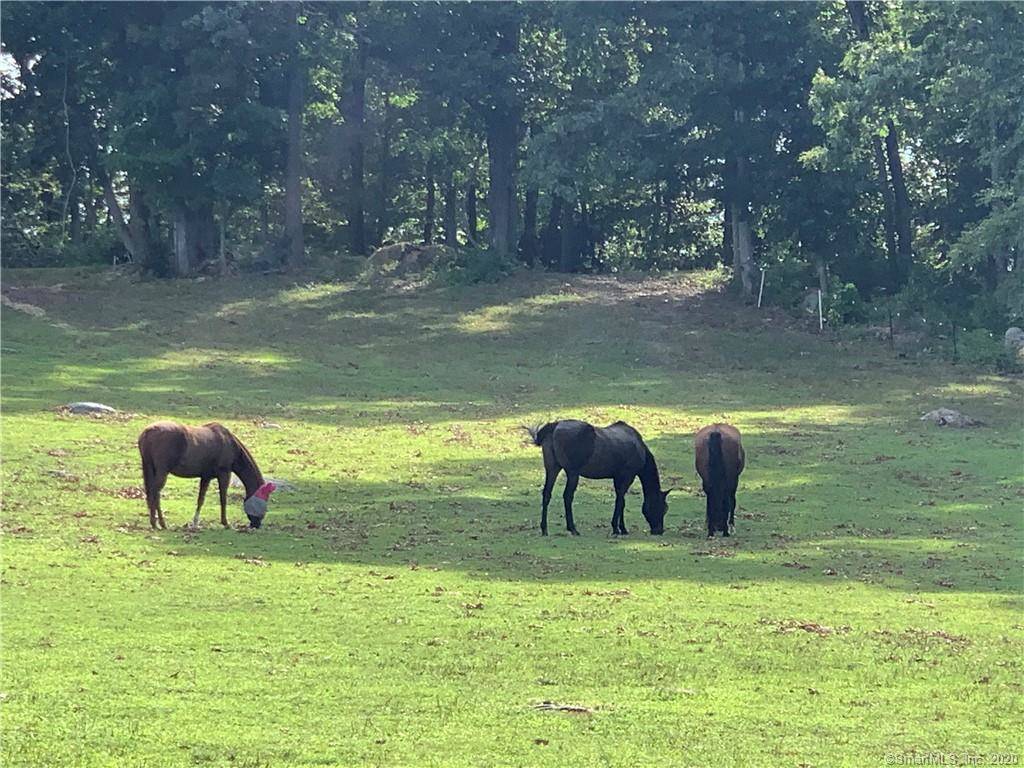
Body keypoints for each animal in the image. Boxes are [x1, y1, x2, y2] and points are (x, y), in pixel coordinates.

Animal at [137, 421, 274, 530]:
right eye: (266, 499)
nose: (256, 525)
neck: (229, 444)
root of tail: (148, 432)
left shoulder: (206, 477)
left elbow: (201, 499)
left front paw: (195, 522)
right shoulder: (224, 473)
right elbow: (223, 498)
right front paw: (225, 522)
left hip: (150, 468)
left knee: (151, 493)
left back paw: (154, 522)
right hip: (162, 471)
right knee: (155, 493)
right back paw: (160, 523)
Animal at [526, 420, 670, 536]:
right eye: (663, 508)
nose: (659, 531)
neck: (640, 449)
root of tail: (555, 426)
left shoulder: (617, 477)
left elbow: (621, 501)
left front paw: (622, 528)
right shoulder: (627, 476)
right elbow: (620, 501)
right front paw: (616, 528)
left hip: (552, 468)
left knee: (546, 494)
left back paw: (544, 529)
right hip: (572, 472)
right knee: (567, 496)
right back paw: (572, 528)